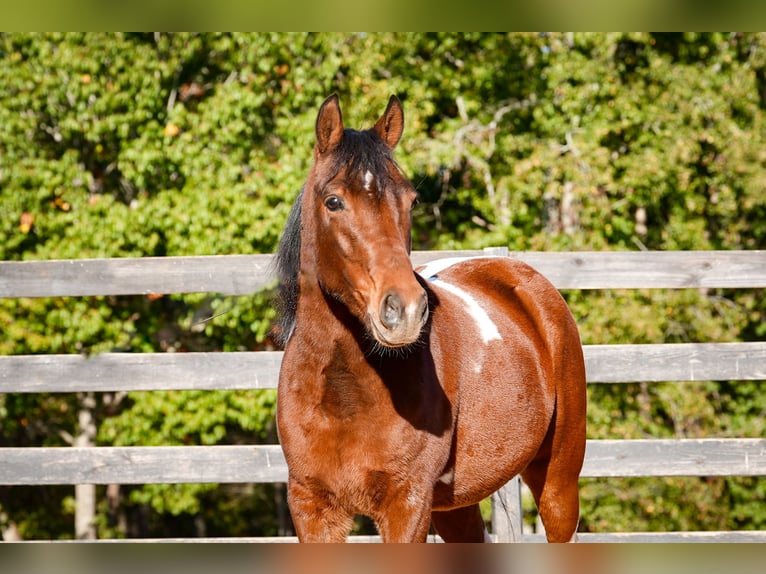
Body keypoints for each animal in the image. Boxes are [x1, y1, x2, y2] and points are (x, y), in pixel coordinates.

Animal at [274, 94, 586, 542]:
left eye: (411, 201)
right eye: (333, 201)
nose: (404, 309)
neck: (343, 394)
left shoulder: (407, 505)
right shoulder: (311, 508)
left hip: (558, 480)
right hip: (456, 505)